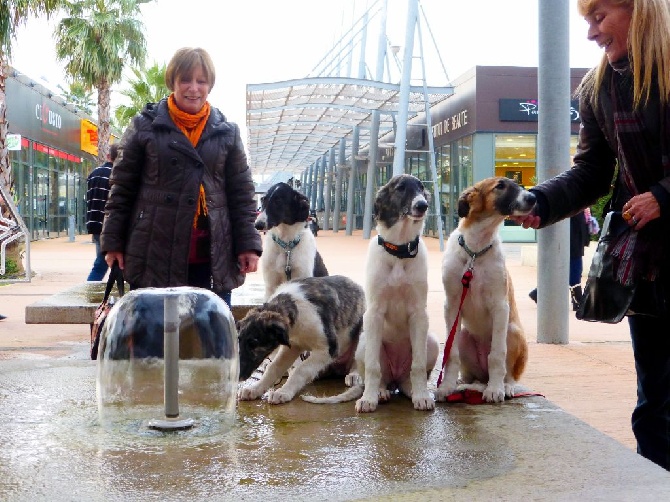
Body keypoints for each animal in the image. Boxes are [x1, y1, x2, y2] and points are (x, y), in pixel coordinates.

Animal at [235, 274, 362, 404]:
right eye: (238, 341)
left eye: (254, 344)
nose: (237, 377)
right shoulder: (292, 346)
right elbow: (273, 367)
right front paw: (255, 389)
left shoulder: (328, 349)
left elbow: (301, 370)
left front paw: (283, 392)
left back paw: (354, 374)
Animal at [304, 176, 440, 412]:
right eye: (400, 188)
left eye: (422, 187)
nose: (422, 205)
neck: (399, 251)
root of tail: (395, 376)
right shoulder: (374, 313)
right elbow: (373, 368)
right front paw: (368, 399)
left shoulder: (419, 314)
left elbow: (419, 366)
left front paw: (422, 396)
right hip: (365, 343)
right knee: (379, 375)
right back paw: (380, 392)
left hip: (430, 341)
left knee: (407, 377)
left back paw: (411, 391)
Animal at [436, 176, 536, 404]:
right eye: (500, 186)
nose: (533, 197)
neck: (475, 250)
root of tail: (482, 378)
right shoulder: (451, 305)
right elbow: (450, 353)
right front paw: (446, 386)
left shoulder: (500, 306)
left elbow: (497, 355)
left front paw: (495, 390)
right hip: (464, 334)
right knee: (469, 373)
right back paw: (463, 383)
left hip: (512, 331)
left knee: (508, 372)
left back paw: (504, 386)